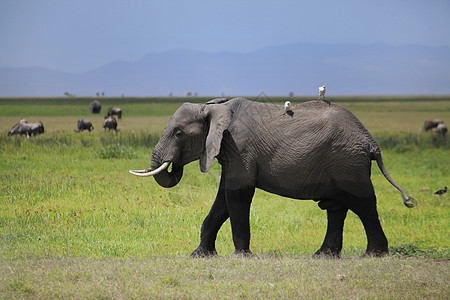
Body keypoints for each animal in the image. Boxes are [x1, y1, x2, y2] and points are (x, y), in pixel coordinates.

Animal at [128, 98, 416, 258]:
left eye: (178, 133)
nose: (173, 166)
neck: (215, 108)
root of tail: (371, 142)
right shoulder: (229, 151)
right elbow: (222, 199)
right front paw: (199, 256)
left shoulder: (240, 148)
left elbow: (237, 194)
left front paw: (241, 257)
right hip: (342, 160)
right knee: (337, 207)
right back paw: (323, 256)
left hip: (348, 162)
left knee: (363, 204)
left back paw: (374, 255)